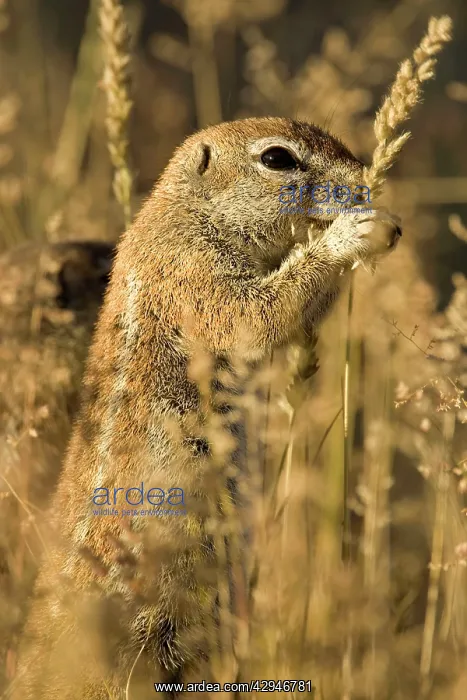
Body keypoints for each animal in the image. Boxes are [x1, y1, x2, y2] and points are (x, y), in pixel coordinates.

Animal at [12, 118, 401, 699]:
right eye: (278, 158)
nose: (363, 186)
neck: (190, 210)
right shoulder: (191, 267)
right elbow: (253, 318)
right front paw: (352, 233)